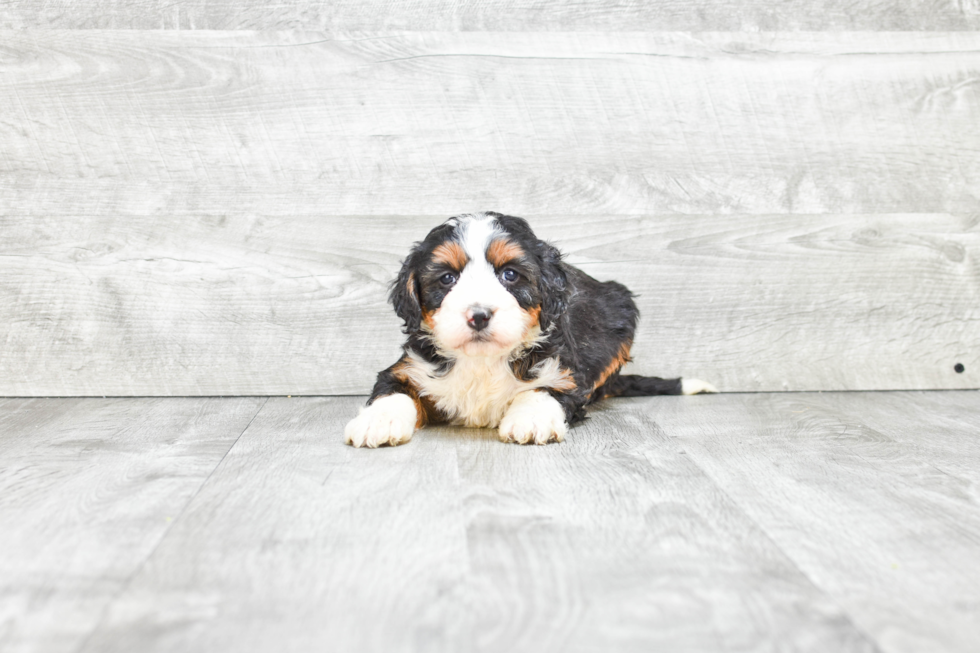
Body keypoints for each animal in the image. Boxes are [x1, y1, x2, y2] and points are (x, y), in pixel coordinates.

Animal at [346, 211, 720, 446]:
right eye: (447, 278)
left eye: (510, 275)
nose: (479, 315)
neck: (483, 360)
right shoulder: (409, 367)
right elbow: (393, 390)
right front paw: (376, 422)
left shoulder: (568, 375)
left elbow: (544, 390)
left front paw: (531, 420)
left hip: (618, 312)